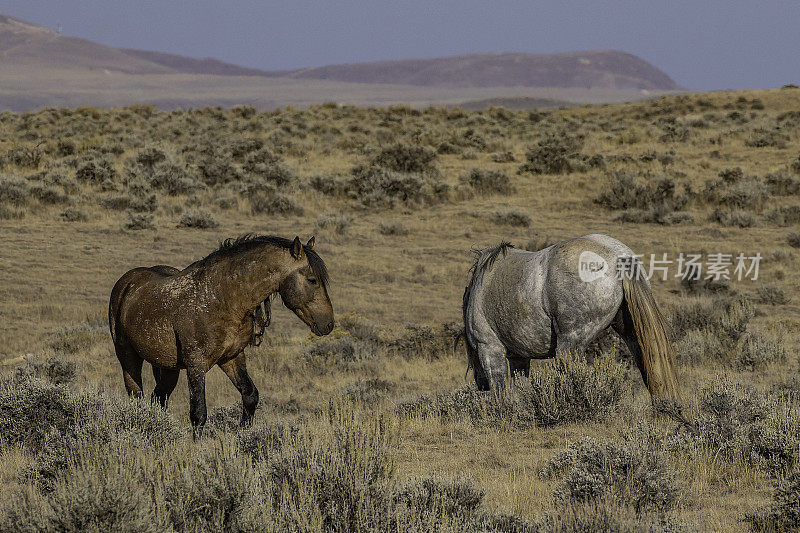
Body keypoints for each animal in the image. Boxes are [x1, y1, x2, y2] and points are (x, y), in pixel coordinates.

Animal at [108, 235, 332, 434]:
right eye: (312, 280)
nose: (328, 324)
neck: (220, 299)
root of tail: (126, 283)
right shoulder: (196, 364)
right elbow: (198, 413)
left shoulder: (232, 357)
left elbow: (250, 396)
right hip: (128, 357)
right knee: (137, 398)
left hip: (169, 367)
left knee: (158, 398)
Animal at [462, 233, 680, 400]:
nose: (480, 384)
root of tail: (617, 256)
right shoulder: (519, 358)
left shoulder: (489, 349)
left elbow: (499, 392)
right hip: (632, 332)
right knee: (648, 366)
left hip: (569, 343)